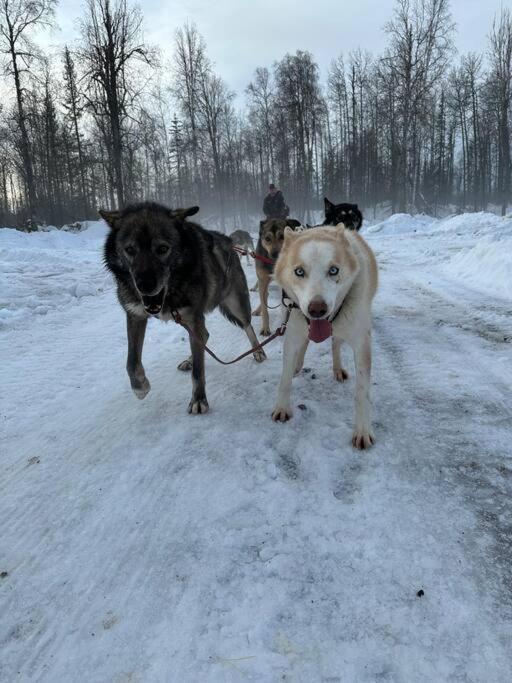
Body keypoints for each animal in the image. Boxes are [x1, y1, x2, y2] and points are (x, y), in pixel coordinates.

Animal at [272, 222, 376, 452]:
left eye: (333, 270)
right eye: (299, 271)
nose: (317, 309)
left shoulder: (361, 343)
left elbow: (362, 392)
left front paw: (362, 430)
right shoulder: (292, 333)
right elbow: (284, 378)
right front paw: (282, 406)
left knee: (335, 343)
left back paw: (337, 368)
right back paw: (298, 364)